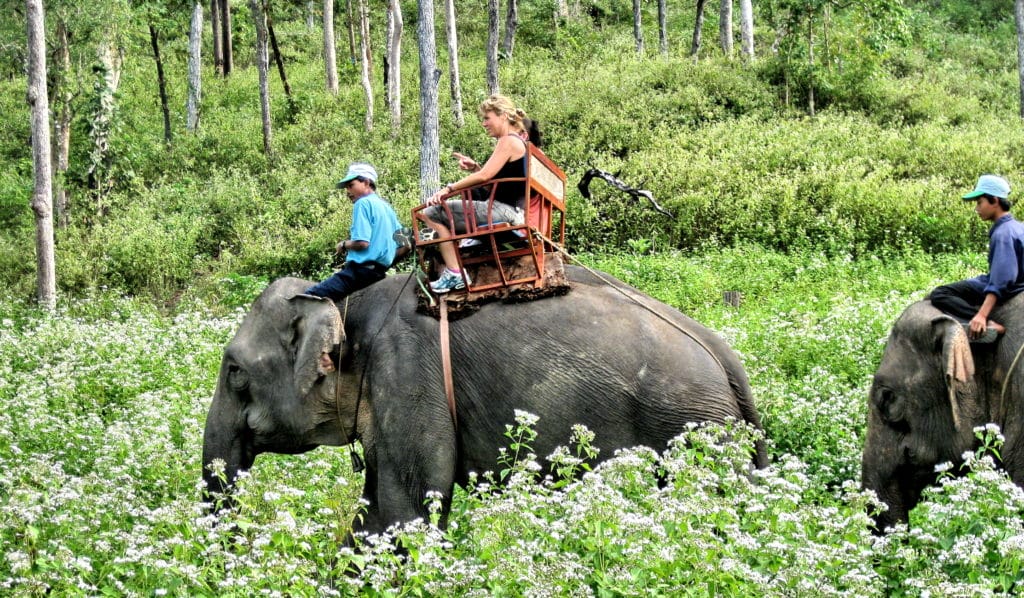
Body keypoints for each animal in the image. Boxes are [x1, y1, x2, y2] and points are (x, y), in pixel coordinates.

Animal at [202, 267, 768, 538]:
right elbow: (373, 516)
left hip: (693, 428)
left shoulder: (408, 376)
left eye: (234, 371)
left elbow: (410, 508)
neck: (346, 304)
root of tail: (725, 357)